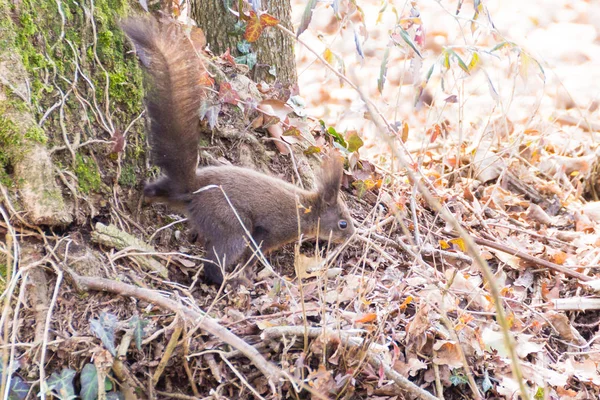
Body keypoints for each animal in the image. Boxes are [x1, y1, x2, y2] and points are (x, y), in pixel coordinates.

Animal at [123, 18, 356, 284]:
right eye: (342, 224)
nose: (352, 236)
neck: (306, 209)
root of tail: (193, 188)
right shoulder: (276, 229)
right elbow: (256, 249)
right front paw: (250, 270)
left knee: (157, 188)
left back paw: (145, 196)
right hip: (229, 222)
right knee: (217, 259)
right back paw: (227, 280)